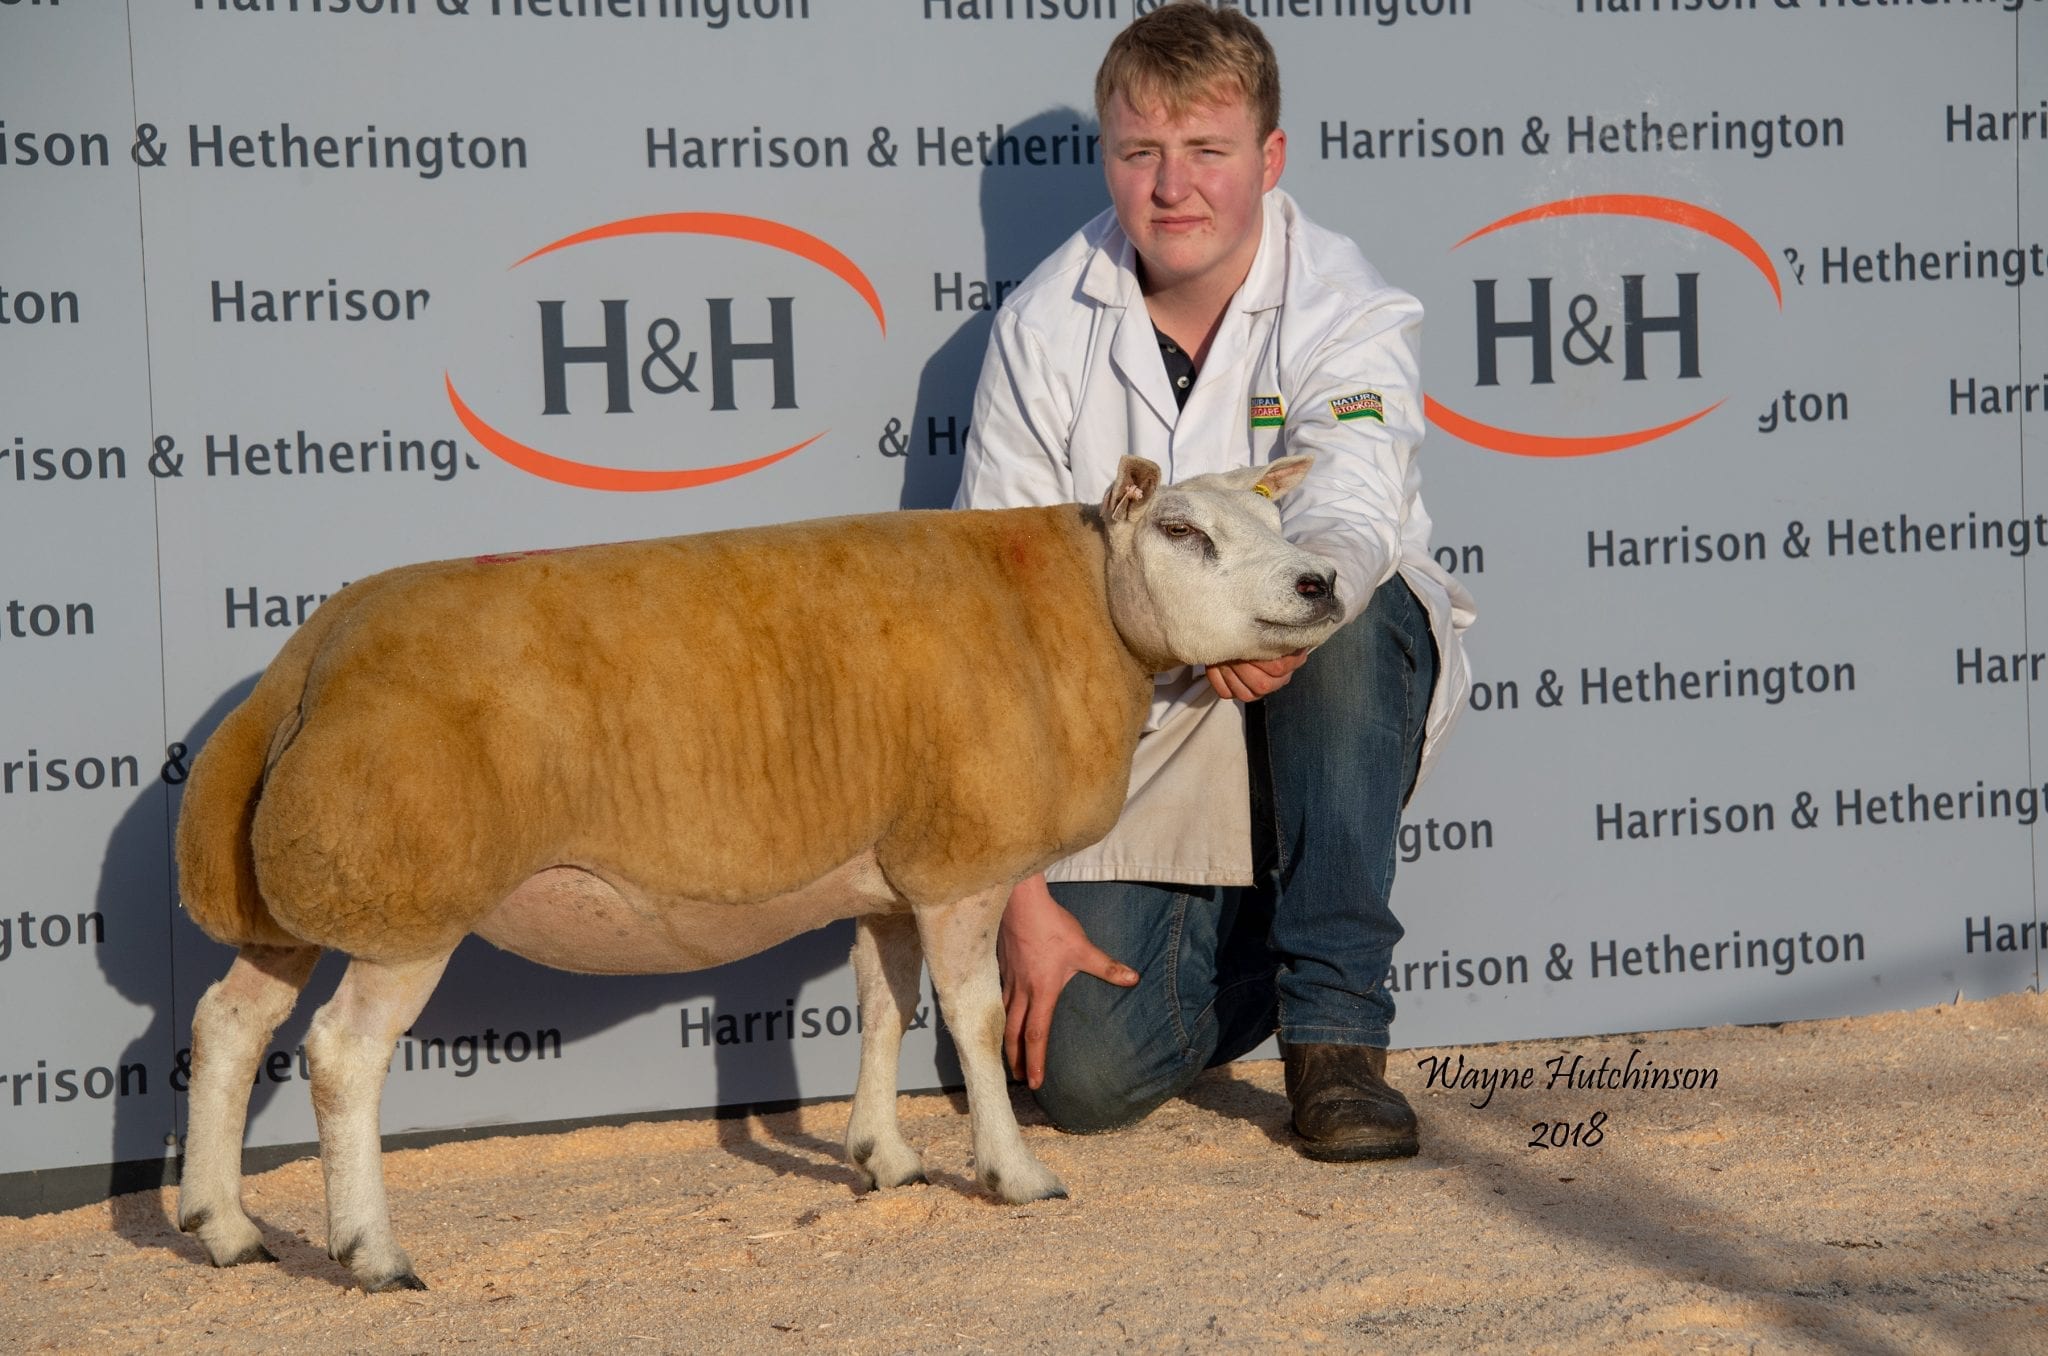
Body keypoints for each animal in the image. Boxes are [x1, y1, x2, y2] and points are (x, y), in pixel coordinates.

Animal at [172, 454, 1343, 1292]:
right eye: (1183, 532)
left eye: (1279, 524)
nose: (1321, 581)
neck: (1072, 608)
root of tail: (314, 654)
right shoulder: (957, 863)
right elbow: (972, 1017)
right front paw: (1013, 1174)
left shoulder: (888, 872)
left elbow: (883, 1005)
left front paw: (884, 1159)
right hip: (405, 893)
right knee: (340, 1056)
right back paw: (372, 1254)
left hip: (295, 898)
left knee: (227, 1024)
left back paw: (222, 1226)